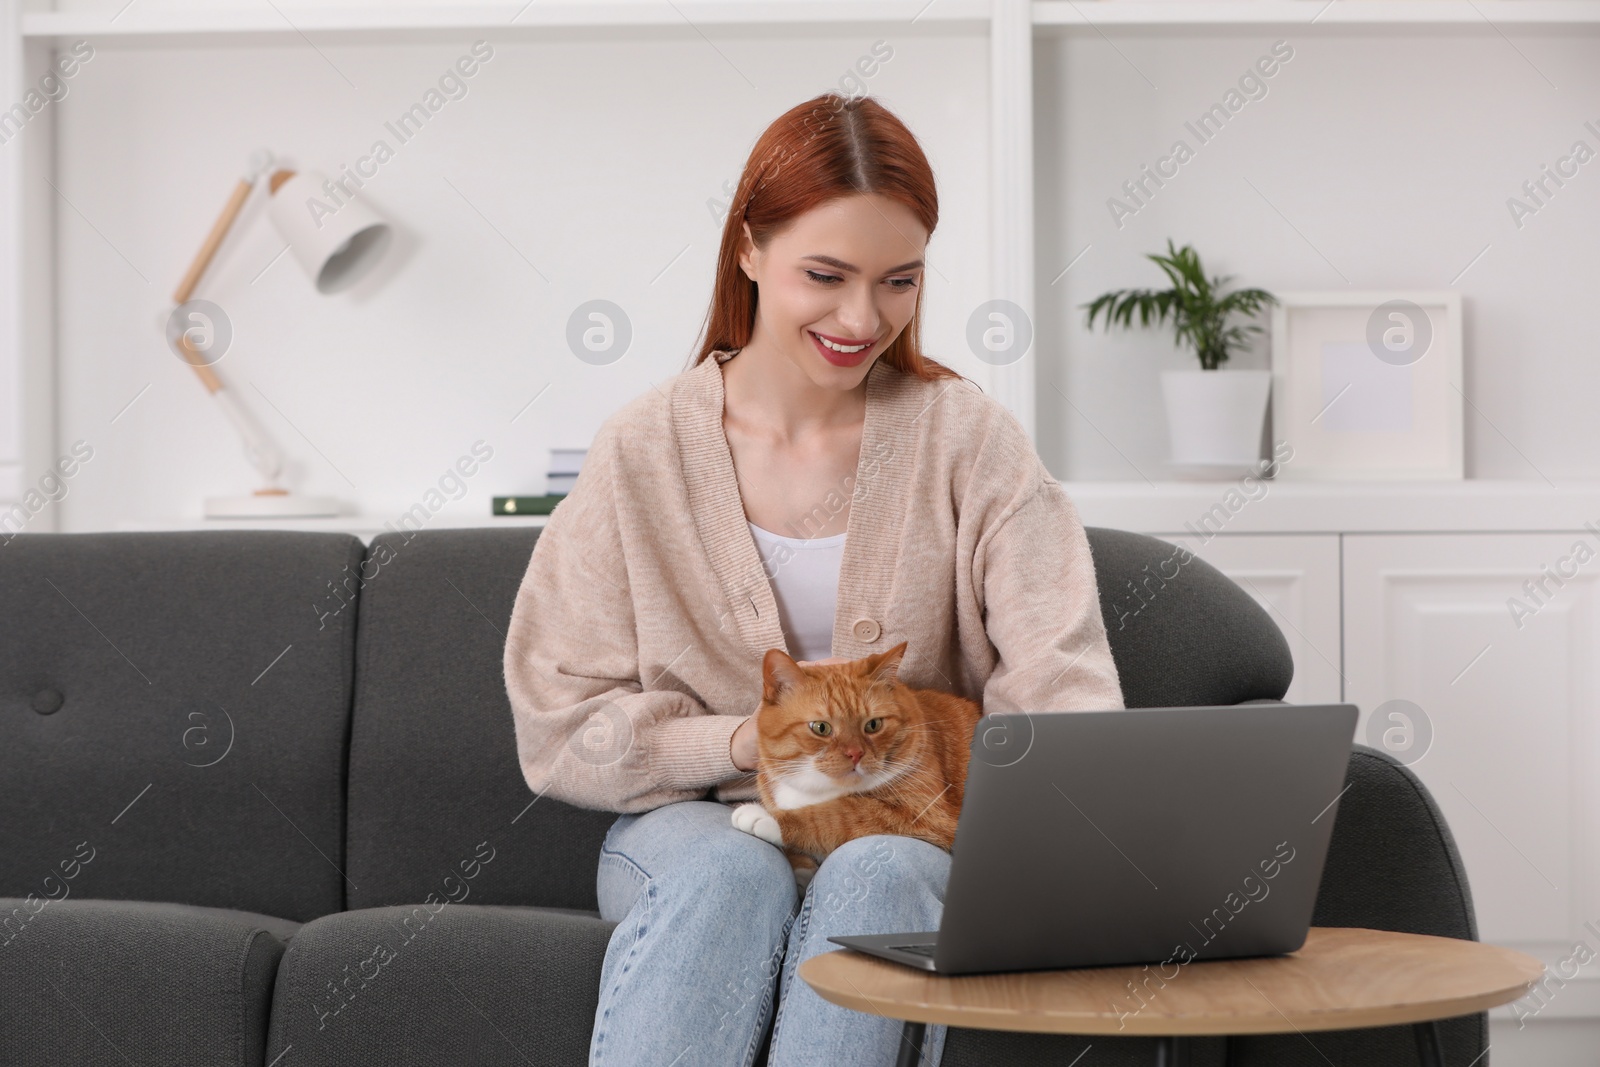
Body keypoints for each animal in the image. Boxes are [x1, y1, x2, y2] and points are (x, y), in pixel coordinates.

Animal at [732, 643, 979, 883]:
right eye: (821, 728)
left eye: (873, 725)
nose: (855, 754)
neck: (818, 787)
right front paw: (801, 869)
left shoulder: (922, 813)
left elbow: (834, 815)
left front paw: (768, 818)